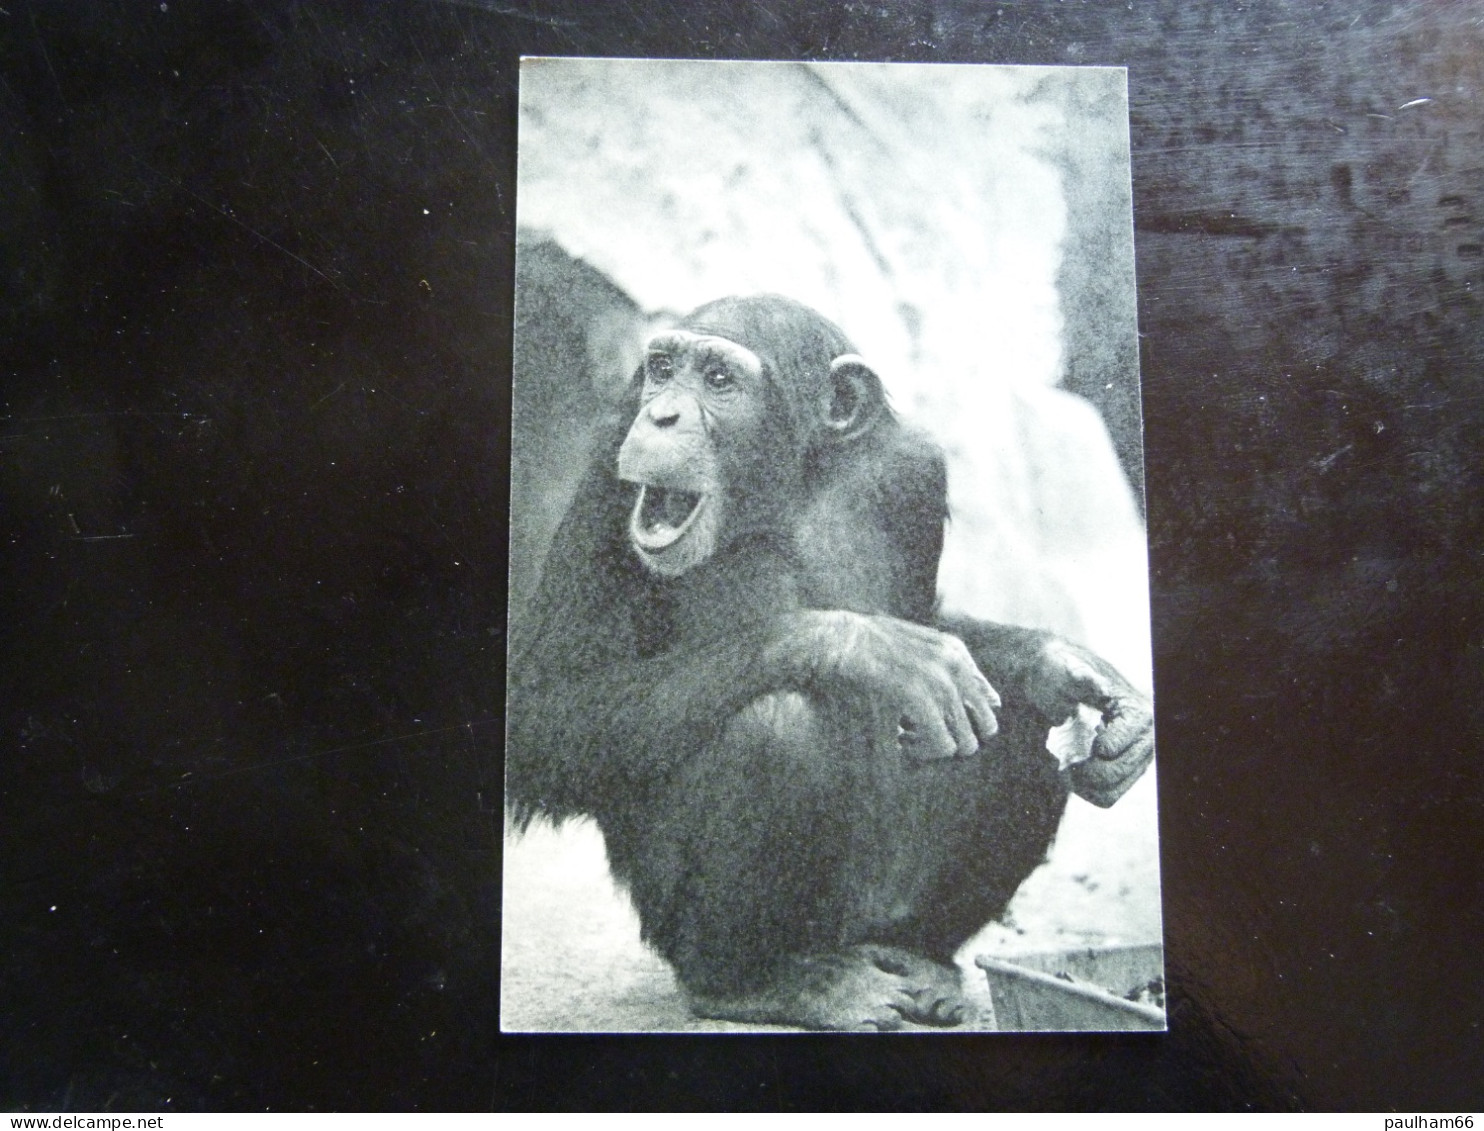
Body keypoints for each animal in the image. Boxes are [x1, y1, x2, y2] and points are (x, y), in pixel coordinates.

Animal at [510, 295, 1157, 1027]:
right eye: (663, 369)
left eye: (718, 380)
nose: (663, 415)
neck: (789, 482)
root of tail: (853, 940)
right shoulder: (605, 478)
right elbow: (548, 704)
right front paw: (868, 648)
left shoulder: (915, 471)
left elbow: (940, 623)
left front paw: (1067, 667)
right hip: (697, 924)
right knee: (775, 730)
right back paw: (760, 983)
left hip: (886, 900)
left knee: (1028, 730)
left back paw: (922, 958)